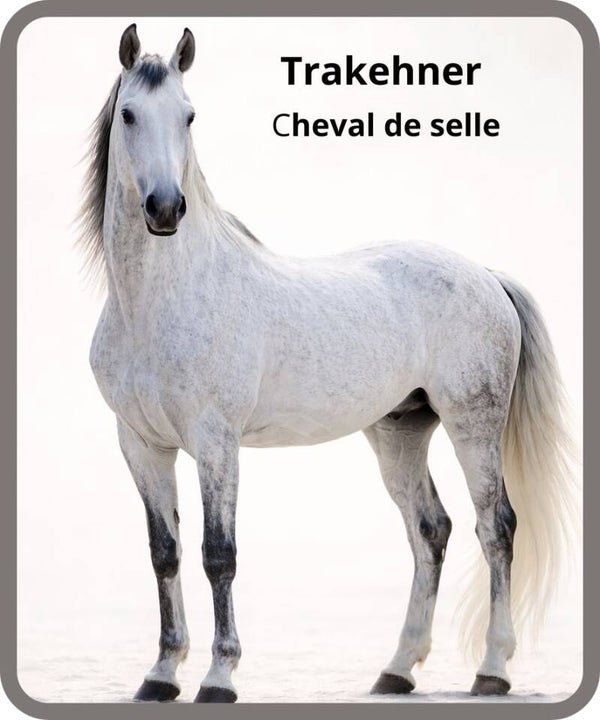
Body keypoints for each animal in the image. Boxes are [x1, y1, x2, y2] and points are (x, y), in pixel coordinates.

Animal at [80, 24, 576, 703]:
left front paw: (219, 677)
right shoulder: (140, 444)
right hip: (399, 432)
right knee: (431, 530)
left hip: (473, 425)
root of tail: (484, 275)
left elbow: (218, 553)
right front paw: (160, 675)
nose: (164, 209)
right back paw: (396, 671)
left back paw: (492, 671)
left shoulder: (215, 441)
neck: (157, 302)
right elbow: (166, 553)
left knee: (494, 527)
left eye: (189, 115)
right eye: (128, 114)